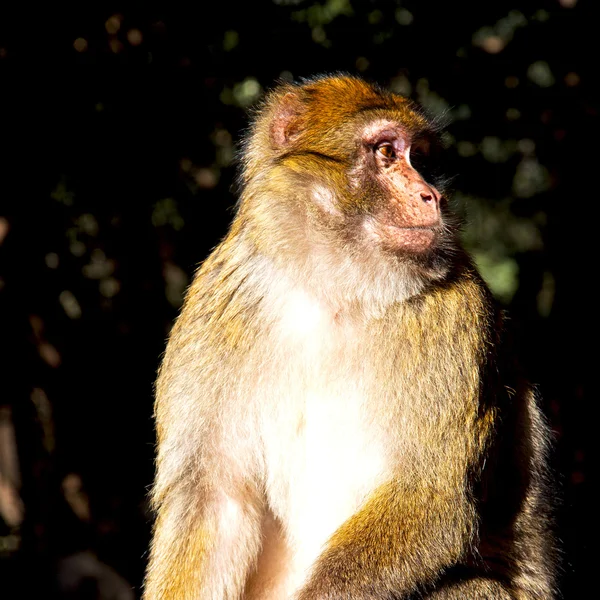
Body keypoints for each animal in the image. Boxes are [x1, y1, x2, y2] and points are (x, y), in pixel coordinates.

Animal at [143, 76, 556, 600]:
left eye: (420, 158)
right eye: (386, 152)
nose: (432, 197)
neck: (332, 288)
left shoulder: (456, 315)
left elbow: (427, 493)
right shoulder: (216, 306)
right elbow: (214, 500)